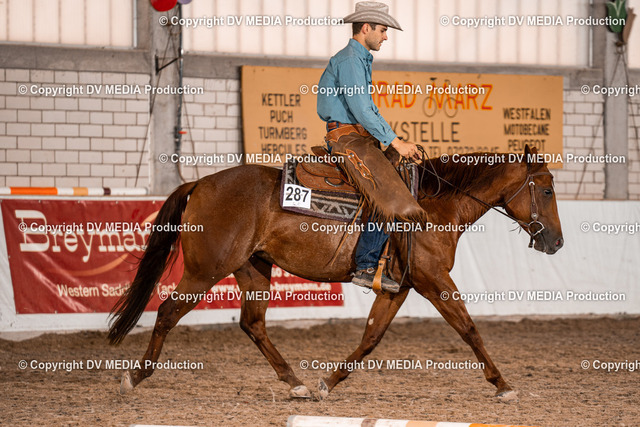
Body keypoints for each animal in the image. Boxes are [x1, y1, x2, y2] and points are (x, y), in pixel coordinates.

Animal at [108, 144, 563, 401]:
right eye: (546, 189)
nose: (556, 242)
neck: (433, 206)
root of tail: (201, 183)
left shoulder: (398, 288)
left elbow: (371, 338)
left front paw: (330, 381)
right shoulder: (433, 281)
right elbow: (469, 329)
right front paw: (502, 385)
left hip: (253, 269)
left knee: (252, 325)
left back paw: (296, 383)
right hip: (205, 270)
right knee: (167, 312)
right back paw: (134, 378)